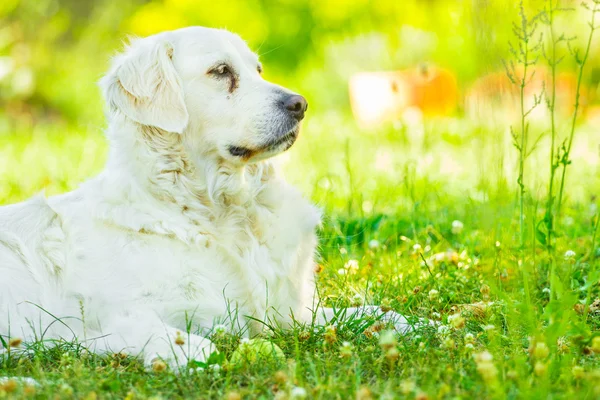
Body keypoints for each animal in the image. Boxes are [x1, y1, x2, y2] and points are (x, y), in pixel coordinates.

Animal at [0, 26, 412, 370]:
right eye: (221, 71)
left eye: (258, 69)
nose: (300, 104)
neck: (222, 212)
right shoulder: (109, 318)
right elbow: (186, 340)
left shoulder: (286, 312)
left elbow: (380, 313)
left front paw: (418, 325)